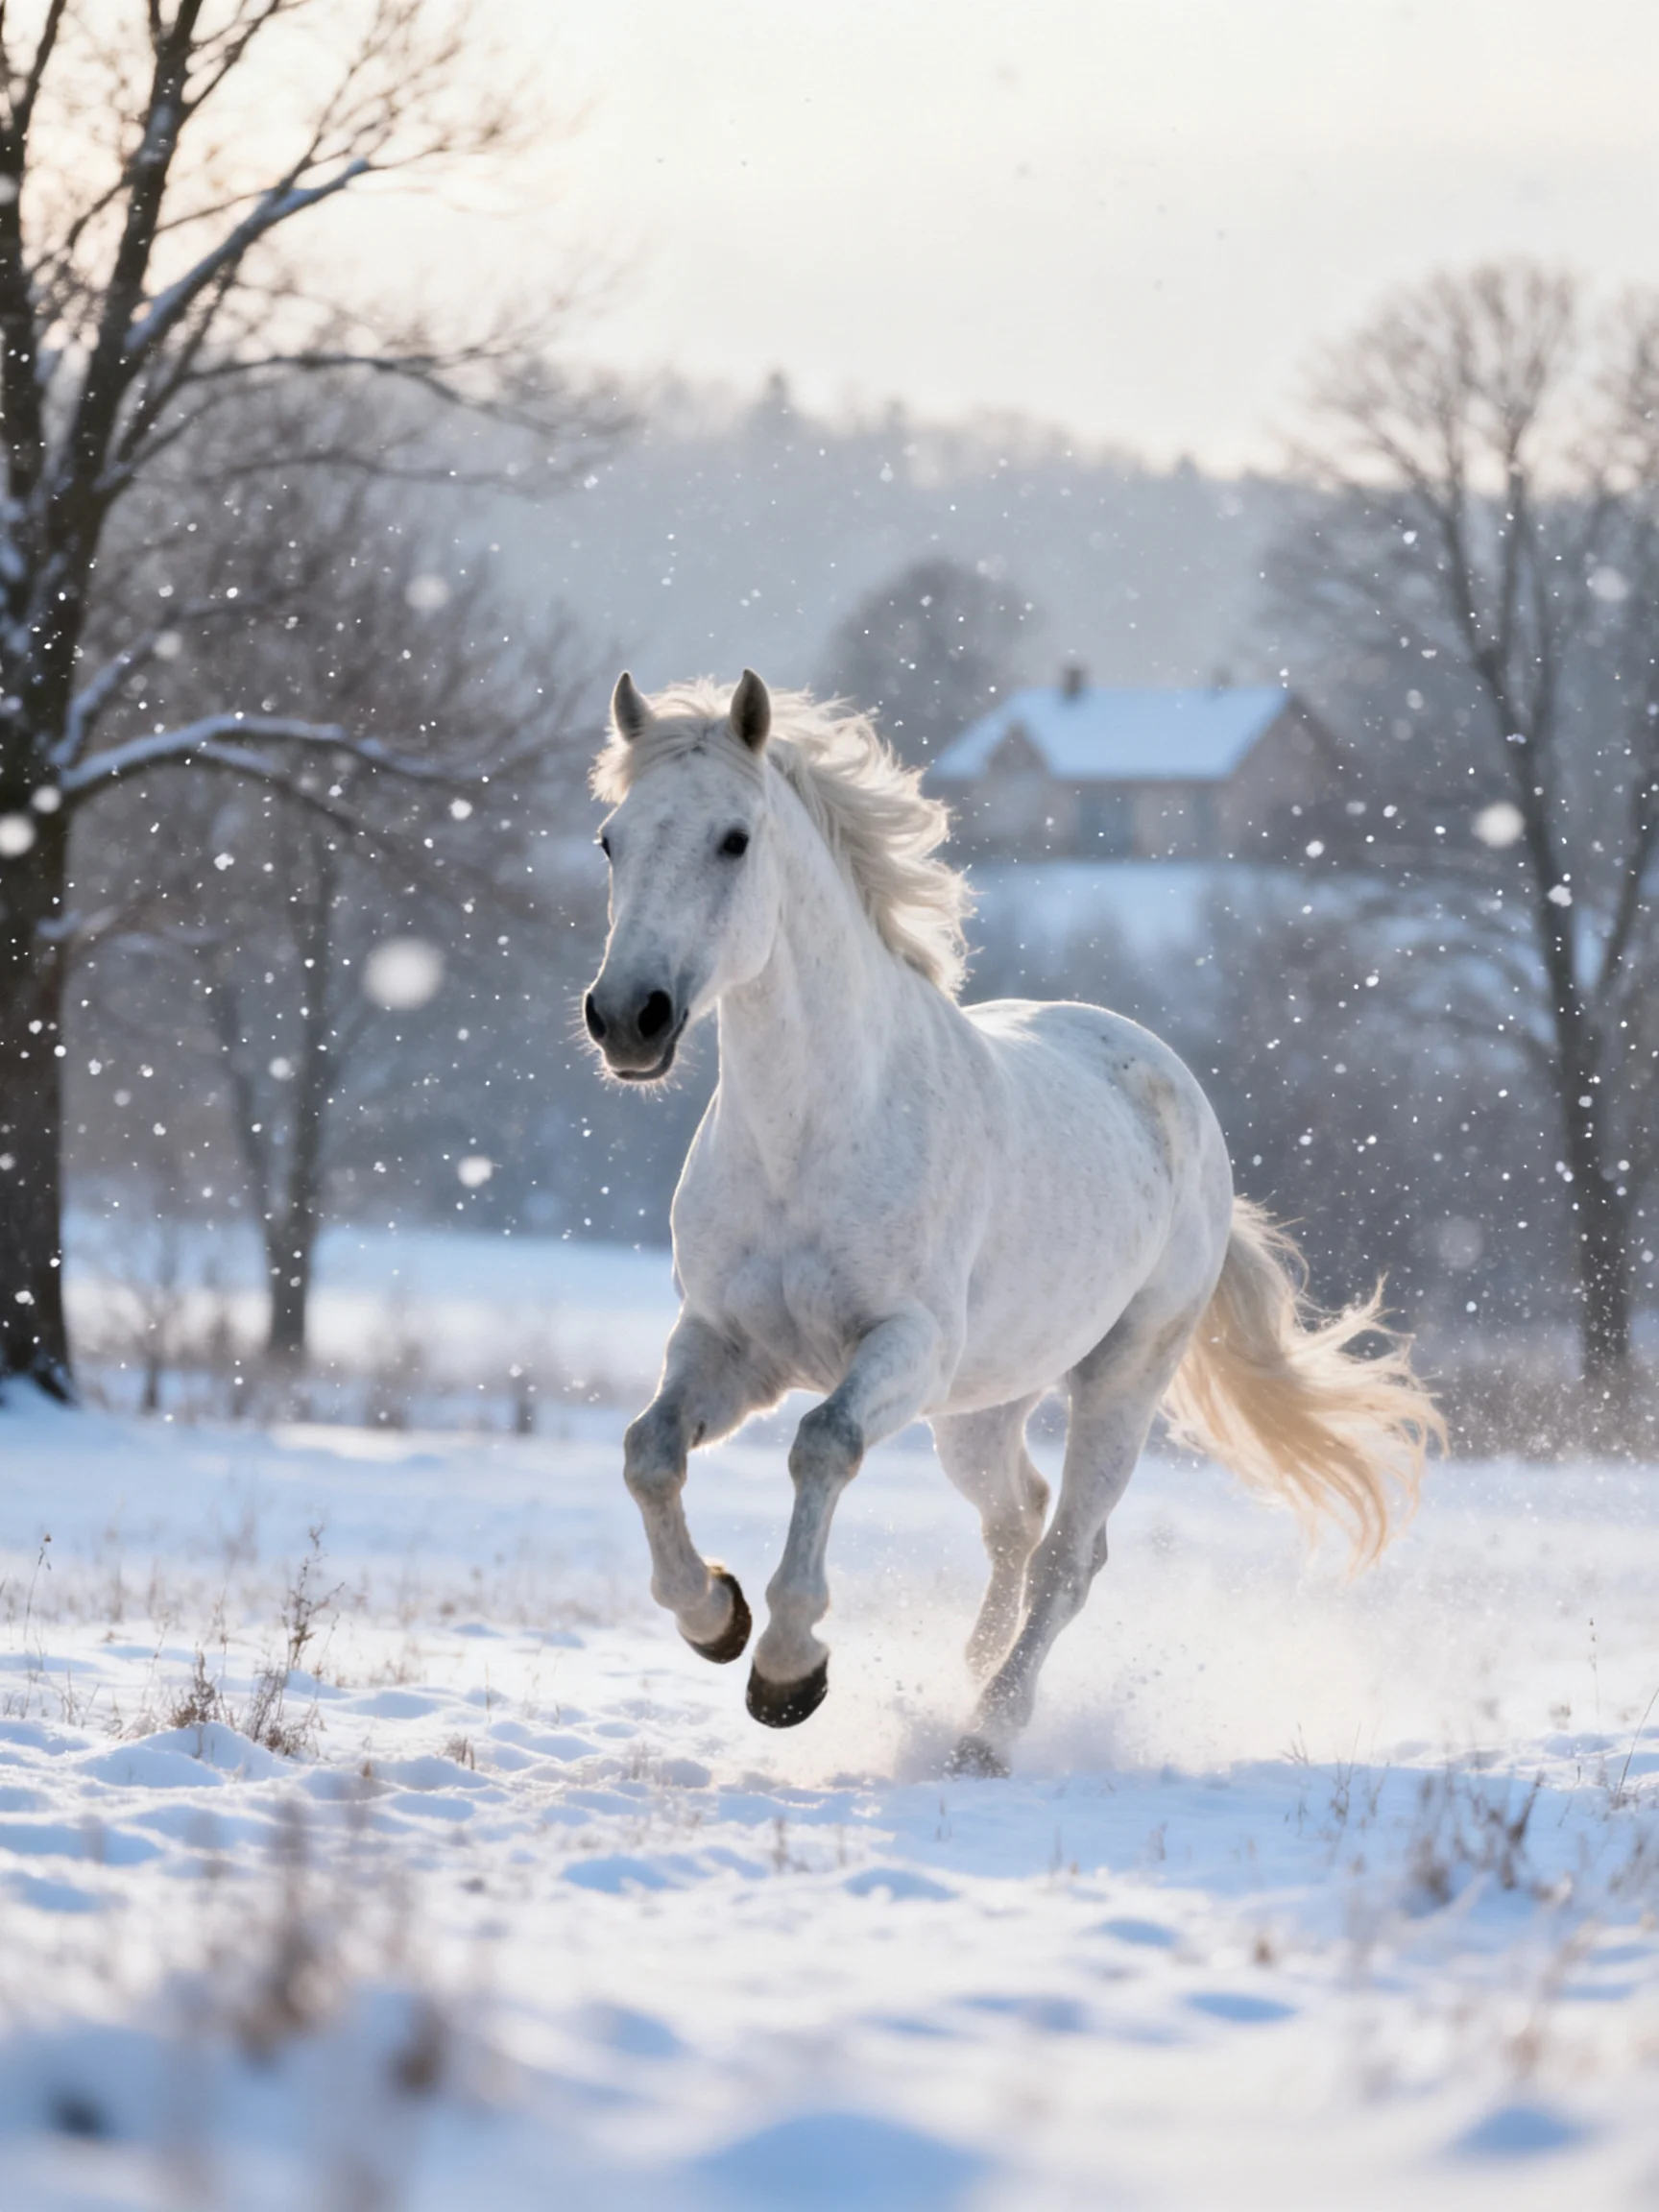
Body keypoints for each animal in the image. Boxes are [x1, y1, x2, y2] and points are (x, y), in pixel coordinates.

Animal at [583, 669, 1441, 1775]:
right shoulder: (729, 1344)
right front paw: (714, 1617)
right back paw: (972, 1669)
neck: (813, 1132)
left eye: (734, 839)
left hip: (1118, 1379)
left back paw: (986, 1730)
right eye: (612, 839)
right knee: (1019, 1519)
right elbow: (648, 1452)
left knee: (1070, 1553)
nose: (626, 1019)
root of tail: (1171, 1082)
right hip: (980, 1407)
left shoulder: (902, 1348)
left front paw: (787, 1668)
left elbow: (822, 1447)